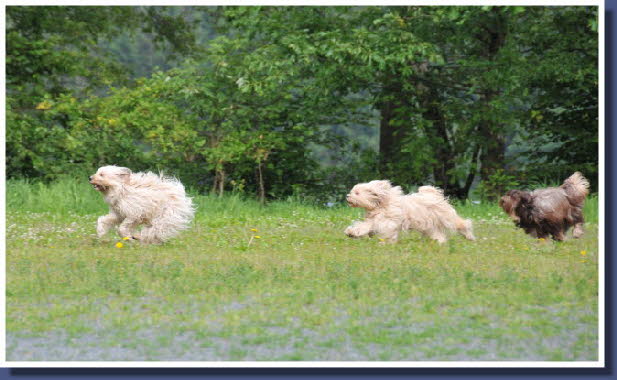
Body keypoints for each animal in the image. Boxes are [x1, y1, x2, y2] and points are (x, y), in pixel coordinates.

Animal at [344, 180, 474, 243]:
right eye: (353, 191)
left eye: (357, 193)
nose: (347, 196)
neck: (381, 204)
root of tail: (436, 195)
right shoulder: (372, 220)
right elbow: (363, 226)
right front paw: (351, 232)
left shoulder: (387, 221)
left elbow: (384, 229)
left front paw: (387, 241)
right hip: (430, 226)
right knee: (438, 234)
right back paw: (440, 242)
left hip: (446, 218)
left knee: (462, 224)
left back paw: (470, 236)